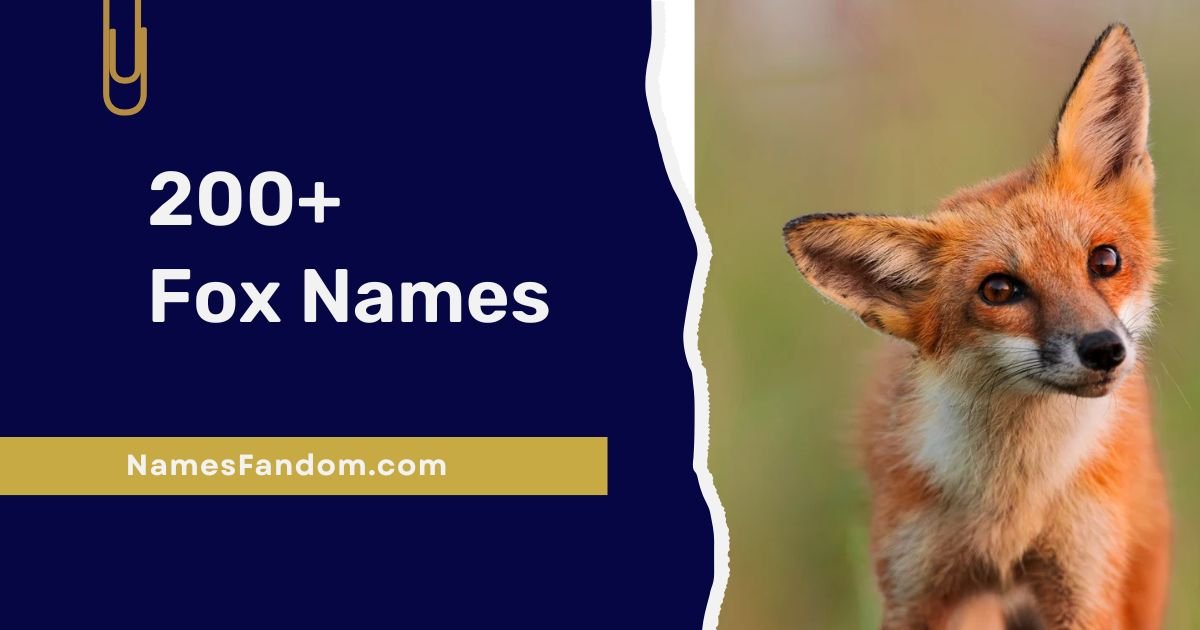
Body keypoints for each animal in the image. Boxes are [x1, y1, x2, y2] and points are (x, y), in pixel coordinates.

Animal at [782, 24, 1169, 629]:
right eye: (999, 290)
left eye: (1105, 260)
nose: (1104, 349)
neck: (1011, 505)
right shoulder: (916, 590)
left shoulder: (1084, 587)